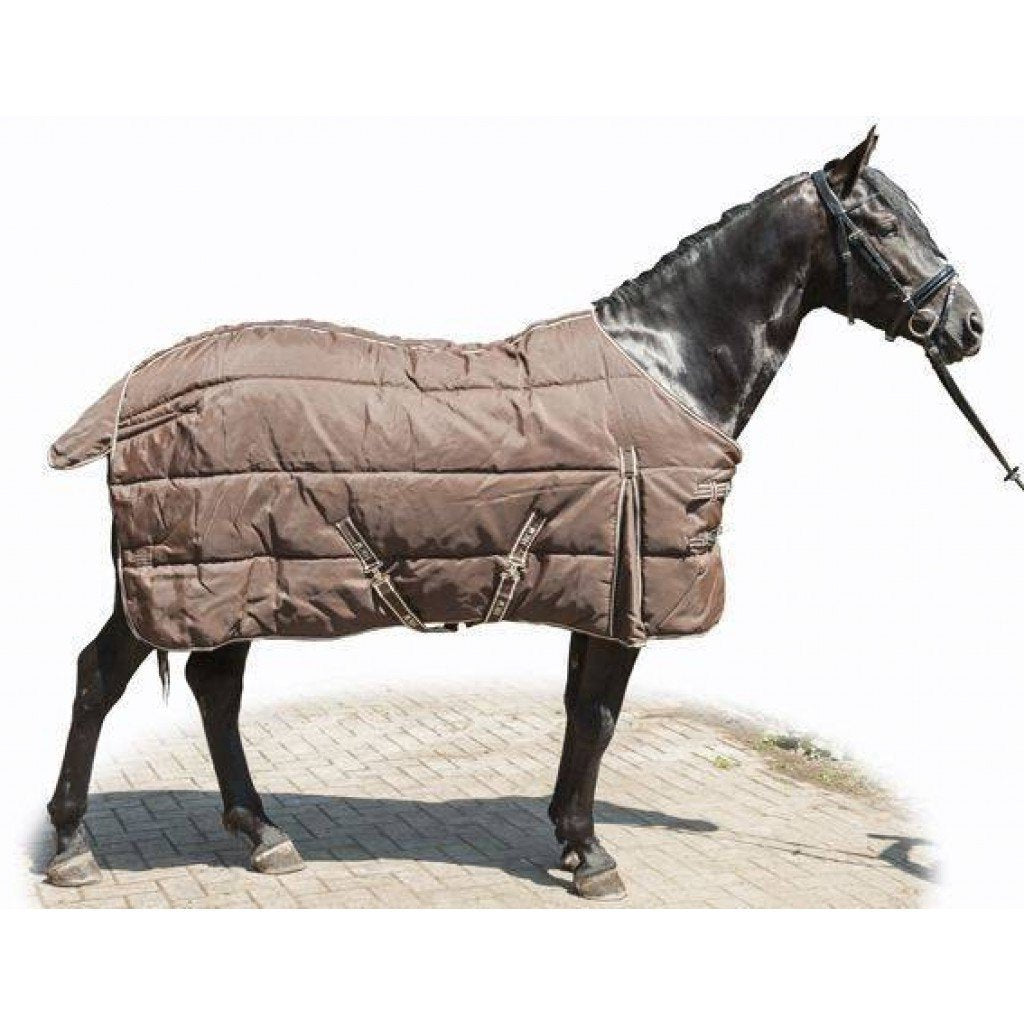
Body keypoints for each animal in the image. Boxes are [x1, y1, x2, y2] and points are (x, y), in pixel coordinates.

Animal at [44, 128, 986, 901]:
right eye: (884, 222)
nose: (971, 325)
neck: (668, 366)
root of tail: (134, 394)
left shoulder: (595, 584)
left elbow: (579, 712)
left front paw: (569, 836)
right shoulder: (628, 592)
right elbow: (599, 716)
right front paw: (591, 853)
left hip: (234, 579)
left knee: (214, 688)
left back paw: (262, 832)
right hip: (191, 578)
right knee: (102, 676)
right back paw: (73, 845)